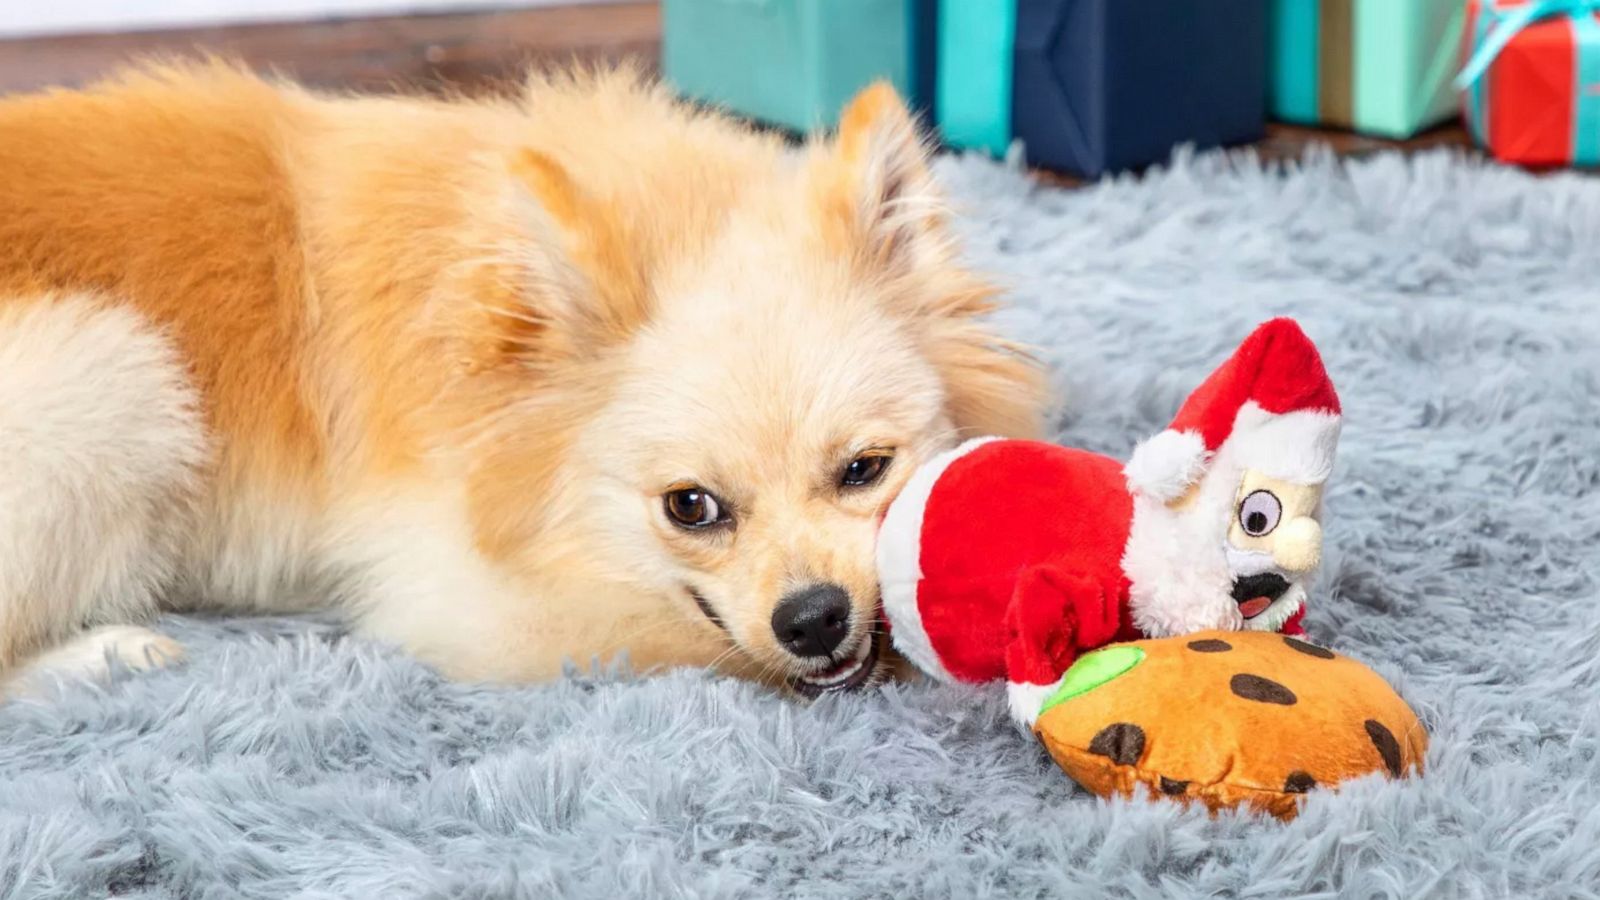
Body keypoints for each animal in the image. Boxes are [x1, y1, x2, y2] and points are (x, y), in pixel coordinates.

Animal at [0, 61, 1049, 695]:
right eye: (691, 508)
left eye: (865, 470)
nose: (813, 617)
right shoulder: (464, 602)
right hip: (114, 373)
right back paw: (109, 655)